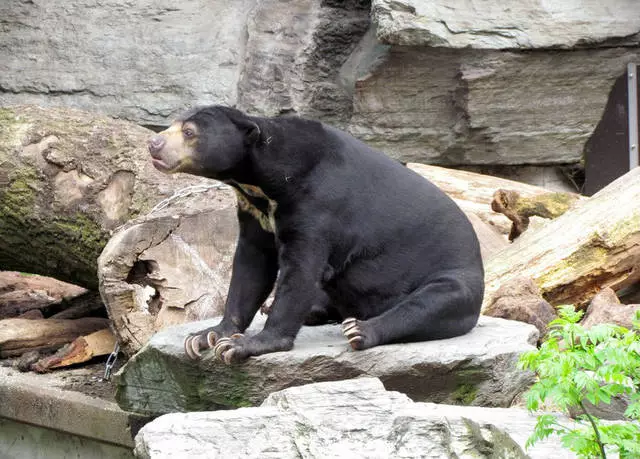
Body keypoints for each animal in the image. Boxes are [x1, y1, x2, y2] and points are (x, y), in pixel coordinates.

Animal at [148, 106, 482, 364]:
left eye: (189, 132)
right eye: (172, 125)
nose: (153, 143)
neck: (262, 183)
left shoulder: (318, 204)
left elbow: (301, 271)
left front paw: (244, 345)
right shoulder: (255, 213)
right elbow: (250, 267)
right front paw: (205, 336)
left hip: (454, 278)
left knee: (432, 303)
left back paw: (360, 330)